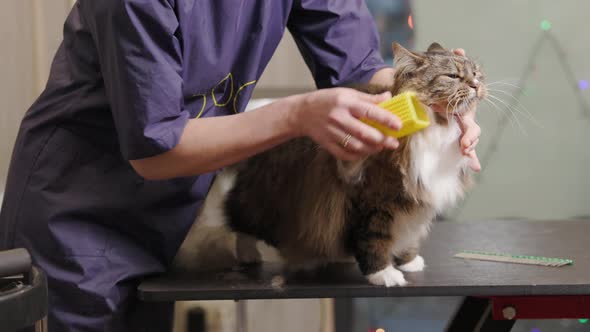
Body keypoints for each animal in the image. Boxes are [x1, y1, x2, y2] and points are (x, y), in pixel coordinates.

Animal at [176, 42, 490, 286]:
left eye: (475, 72)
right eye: (452, 76)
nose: (477, 85)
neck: (436, 129)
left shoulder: (414, 202)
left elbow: (407, 235)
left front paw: (409, 260)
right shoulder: (375, 199)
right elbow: (374, 239)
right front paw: (383, 274)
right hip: (262, 202)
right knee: (238, 220)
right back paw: (249, 254)